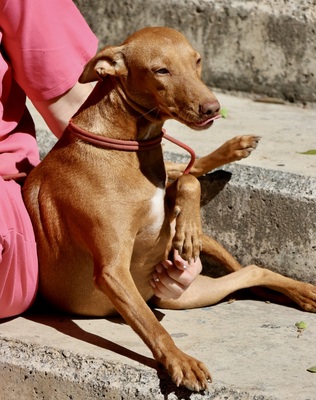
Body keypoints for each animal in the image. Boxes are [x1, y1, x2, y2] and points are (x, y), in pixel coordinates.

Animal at [22, 27, 316, 390]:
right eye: (160, 70)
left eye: (197, 61)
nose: (212, 108)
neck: (128, 145)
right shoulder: (112, 271)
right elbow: (153, 326)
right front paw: (180, 361)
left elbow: (188, 180)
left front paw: (188, 229)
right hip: (180, 296)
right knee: (243, 273)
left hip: (192, 290)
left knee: (249, 265)